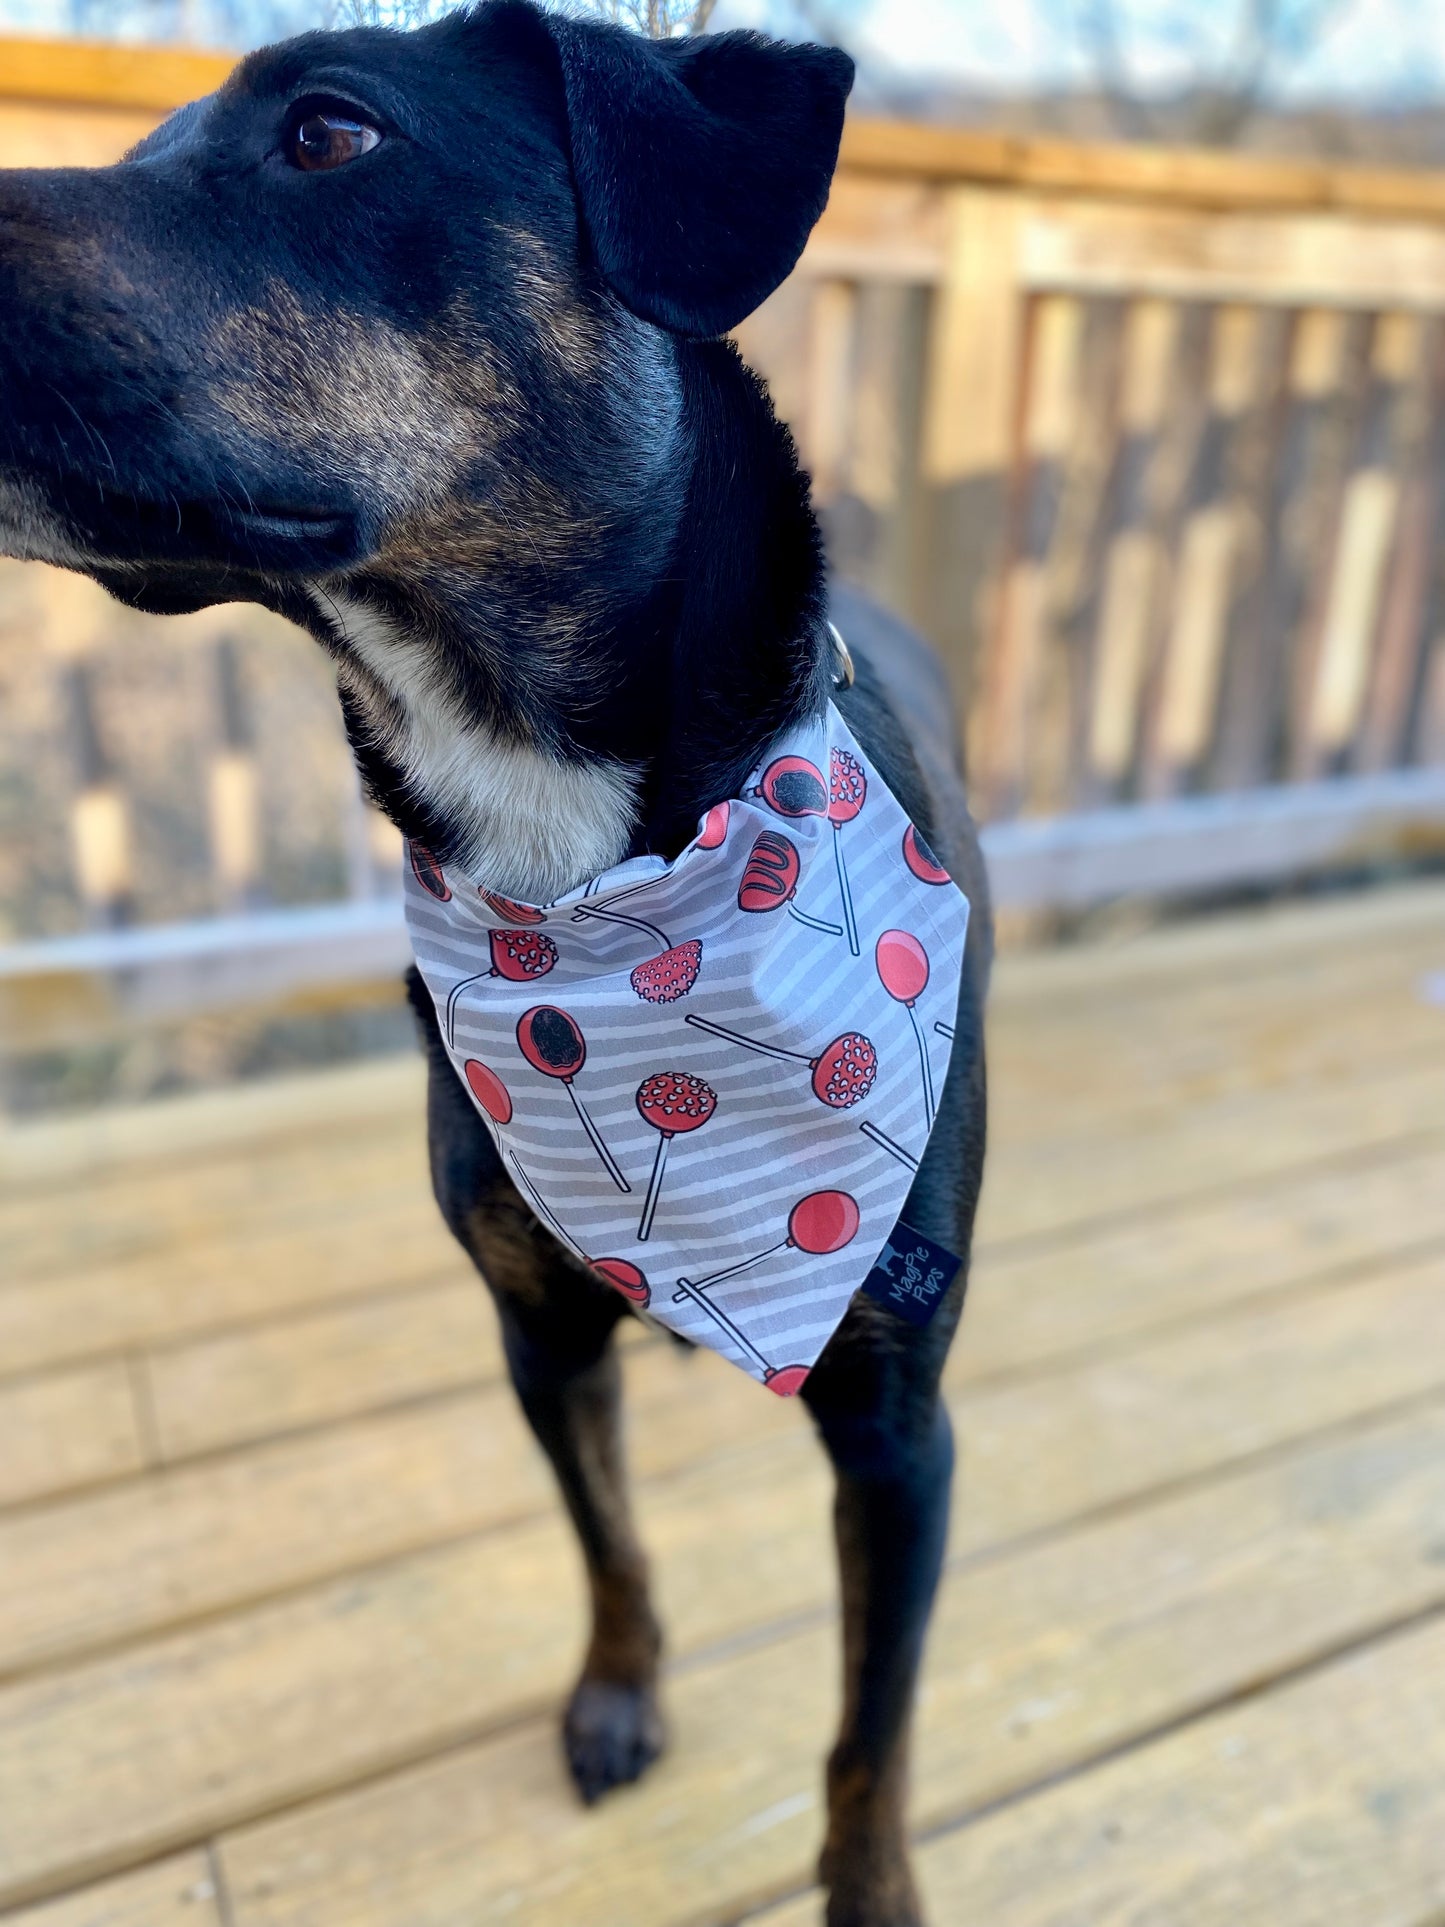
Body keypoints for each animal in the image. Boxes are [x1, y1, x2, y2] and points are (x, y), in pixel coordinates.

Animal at [0, 7, 994, 1919]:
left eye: (331, 130)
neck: (592, 874)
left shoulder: (899, 1424)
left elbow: (874, 1731)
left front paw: (874, 1886)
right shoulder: (536, 1333)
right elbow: (605, 1542)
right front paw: (617, 1690)